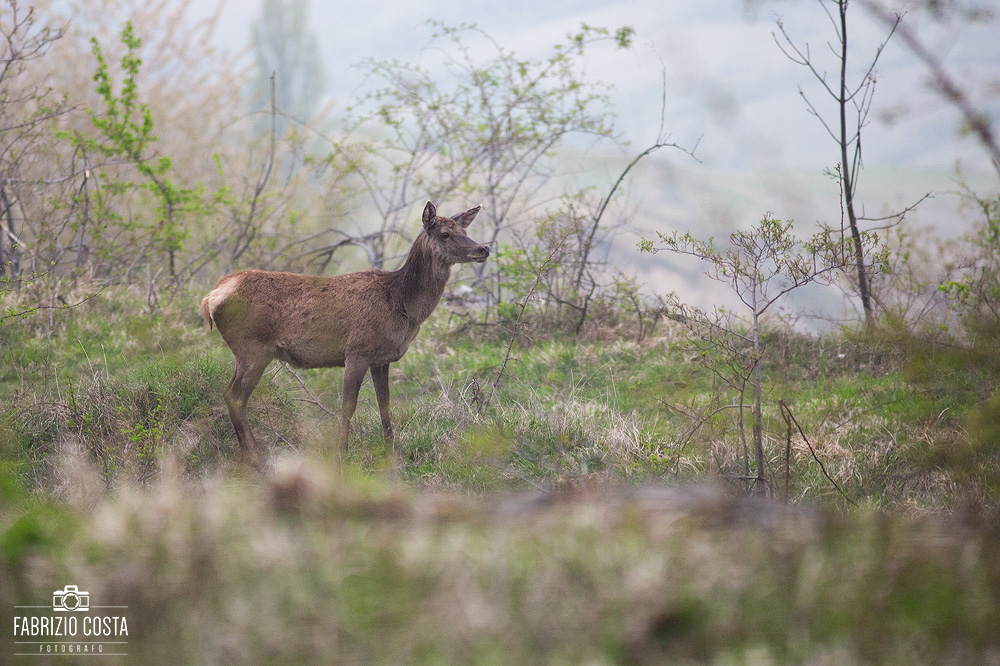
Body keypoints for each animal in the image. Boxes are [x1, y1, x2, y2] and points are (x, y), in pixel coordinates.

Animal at [199, 200, 488, 464]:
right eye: (445, 234)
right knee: (236, 397)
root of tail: (210, 297)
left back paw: (249, 453)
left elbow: (385, 404)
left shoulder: (380, 359)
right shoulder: (357, 351)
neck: (401, 303)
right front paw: (342, 454)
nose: (483, 248)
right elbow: (348, 406)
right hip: (253, 347)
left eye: (464, 230)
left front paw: (391, 451)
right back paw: (255, 456)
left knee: (229, 393)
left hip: (246, 351)